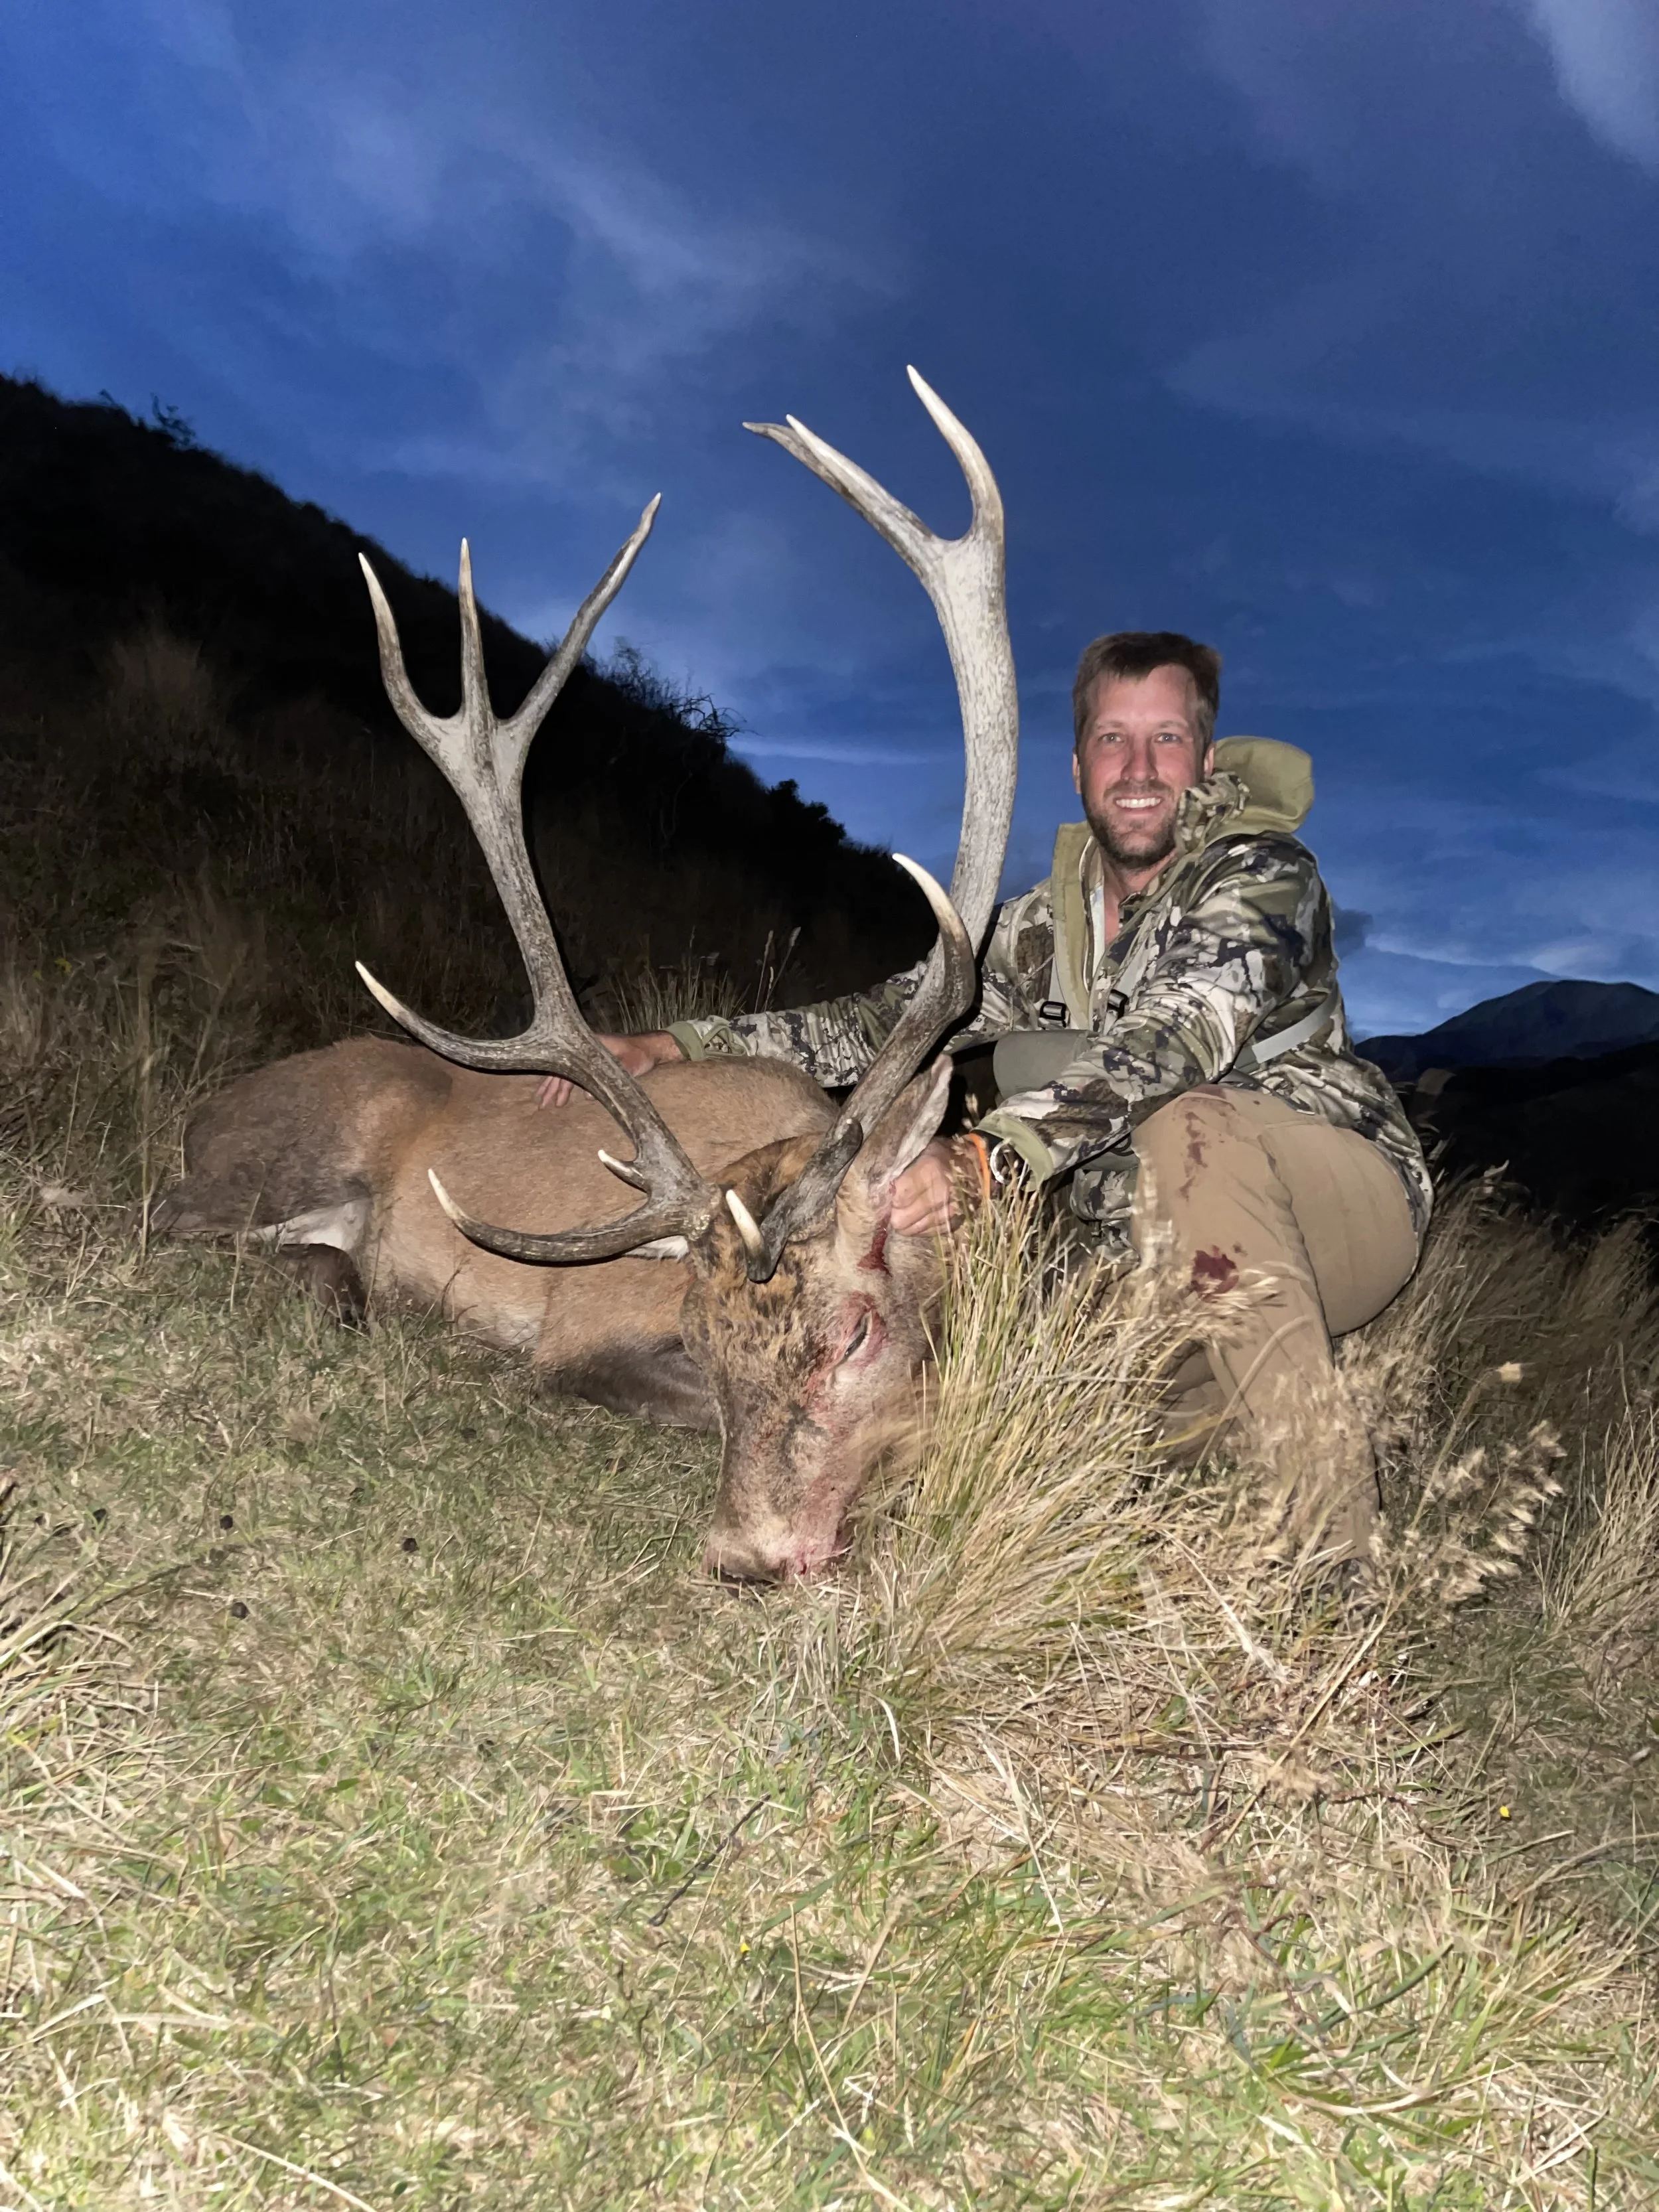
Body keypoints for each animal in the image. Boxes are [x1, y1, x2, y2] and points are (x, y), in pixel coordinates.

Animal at [153, 370, 1018, 1580]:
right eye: (699, 1333)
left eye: (854, 1330)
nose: (748, 1551)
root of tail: (205, 1111)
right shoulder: (579, 1332)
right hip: (298, 1149)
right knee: (173, 1219)